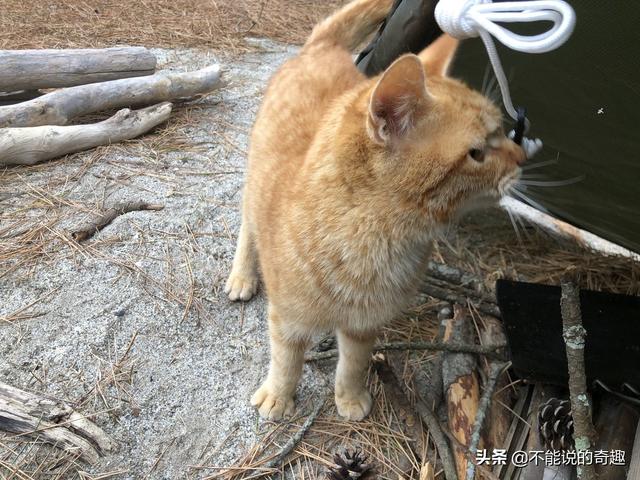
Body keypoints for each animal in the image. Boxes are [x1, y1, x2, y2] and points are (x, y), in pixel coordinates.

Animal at [225, 0, 524, 420]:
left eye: (502, 134)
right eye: (477, 153)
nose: (523, 156)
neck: (378, 239)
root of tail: (325, 47)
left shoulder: (364, 324)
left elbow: (353, 363)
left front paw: (349, 396)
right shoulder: (288, 317)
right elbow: (286, 359)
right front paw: (278, 396)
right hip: (254, 181)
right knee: (247, 225)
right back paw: (242, 275)